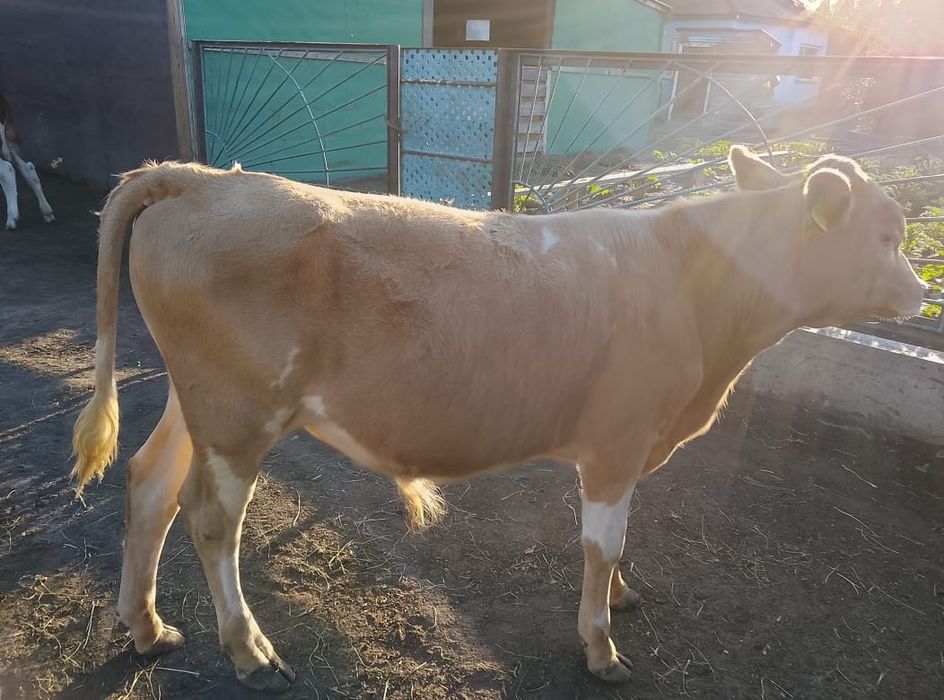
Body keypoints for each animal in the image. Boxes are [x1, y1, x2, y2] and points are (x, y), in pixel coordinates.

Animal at [71, 146, 925, 692]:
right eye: (888, 235)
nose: (922, 294)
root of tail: (201, 178)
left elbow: (616, 546)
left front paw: (620, 599)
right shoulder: (617, 439)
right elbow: (601, 544)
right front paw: (600, 644)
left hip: (198, 405)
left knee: (150, 485)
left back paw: (146, 627)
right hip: (241, 413)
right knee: (211, 520)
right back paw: (248, 650)